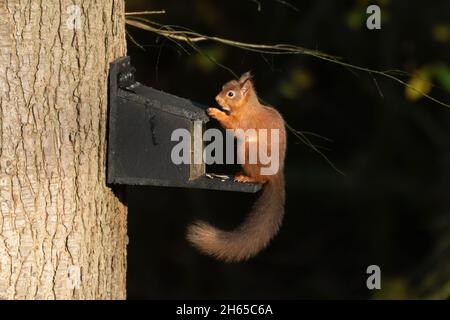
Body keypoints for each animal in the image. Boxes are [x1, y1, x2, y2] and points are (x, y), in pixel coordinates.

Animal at [187, 72, 286, 262]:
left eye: (231, 94)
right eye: (223, 86)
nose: (217, 99)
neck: (246, 107)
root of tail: (275, 174)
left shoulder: (245, 123)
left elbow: (234, 125)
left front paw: (216, 112)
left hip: (248, 151)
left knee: (261, 178)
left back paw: (246, 177)